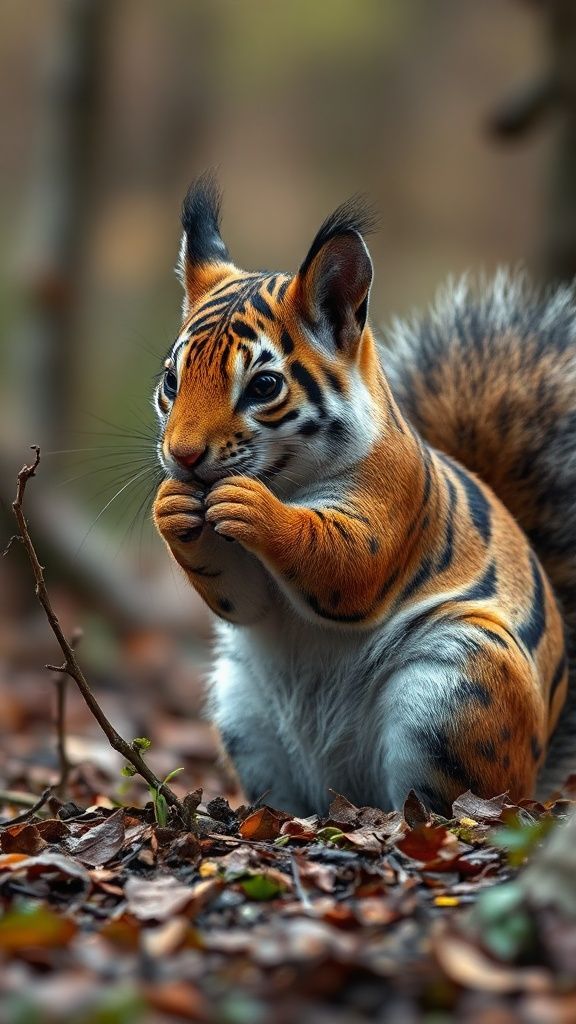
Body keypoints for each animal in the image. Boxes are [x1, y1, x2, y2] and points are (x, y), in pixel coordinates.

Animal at [152, 172, 575, 816]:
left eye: (265, 386)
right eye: (171, 381)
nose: (182, 457)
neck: (287, 479)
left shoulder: (388, 510)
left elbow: (341, 560)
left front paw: (255, 509)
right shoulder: (244, 592)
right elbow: (241, 599)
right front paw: (170, 506)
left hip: (456, 694)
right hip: (243, 714)